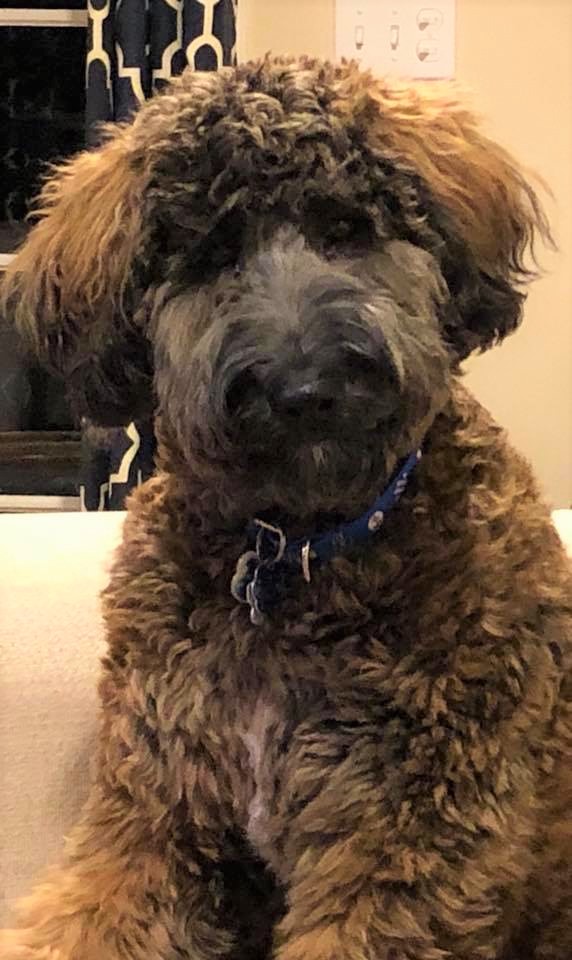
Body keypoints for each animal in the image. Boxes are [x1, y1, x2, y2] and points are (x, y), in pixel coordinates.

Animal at [2, 56, 572, 960]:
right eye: (210, 254)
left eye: (345, 228)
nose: (305, 390)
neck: (291, 559)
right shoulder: (156, 819)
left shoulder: (407, 845)